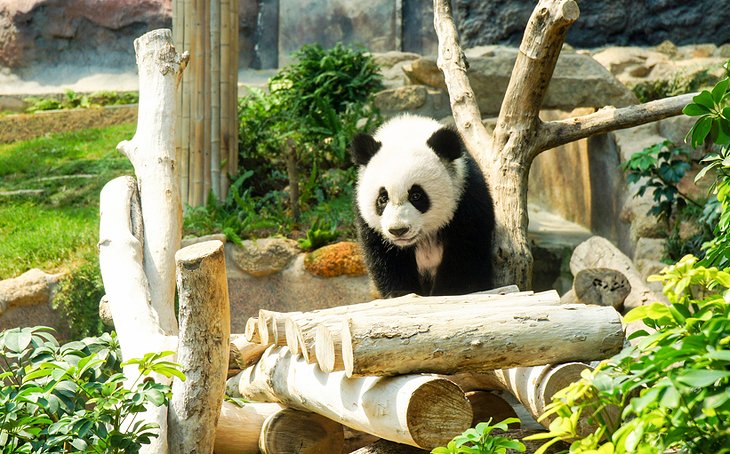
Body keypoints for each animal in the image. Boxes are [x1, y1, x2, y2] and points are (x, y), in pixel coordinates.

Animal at [348, 113, 494, 298]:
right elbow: (386, 259)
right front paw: (400, 293)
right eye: (382, 198)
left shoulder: (468, 201)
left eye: (416, 196)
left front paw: (448, 291)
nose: (398, 230)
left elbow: (465, 255)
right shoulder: (370, 227)